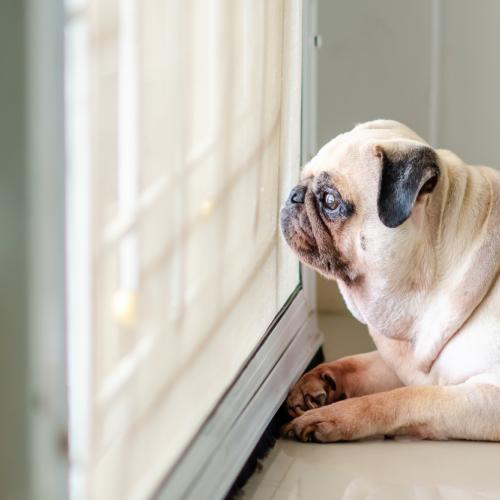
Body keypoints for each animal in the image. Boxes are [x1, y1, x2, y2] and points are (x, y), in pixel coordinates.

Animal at [282, 120, 500, 442]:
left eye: (331, 201)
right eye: (303, 179)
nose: (294, 195)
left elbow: (403, 398)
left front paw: (333, 416)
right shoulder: (402, 361)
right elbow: (357, 362)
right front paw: (318, 379)